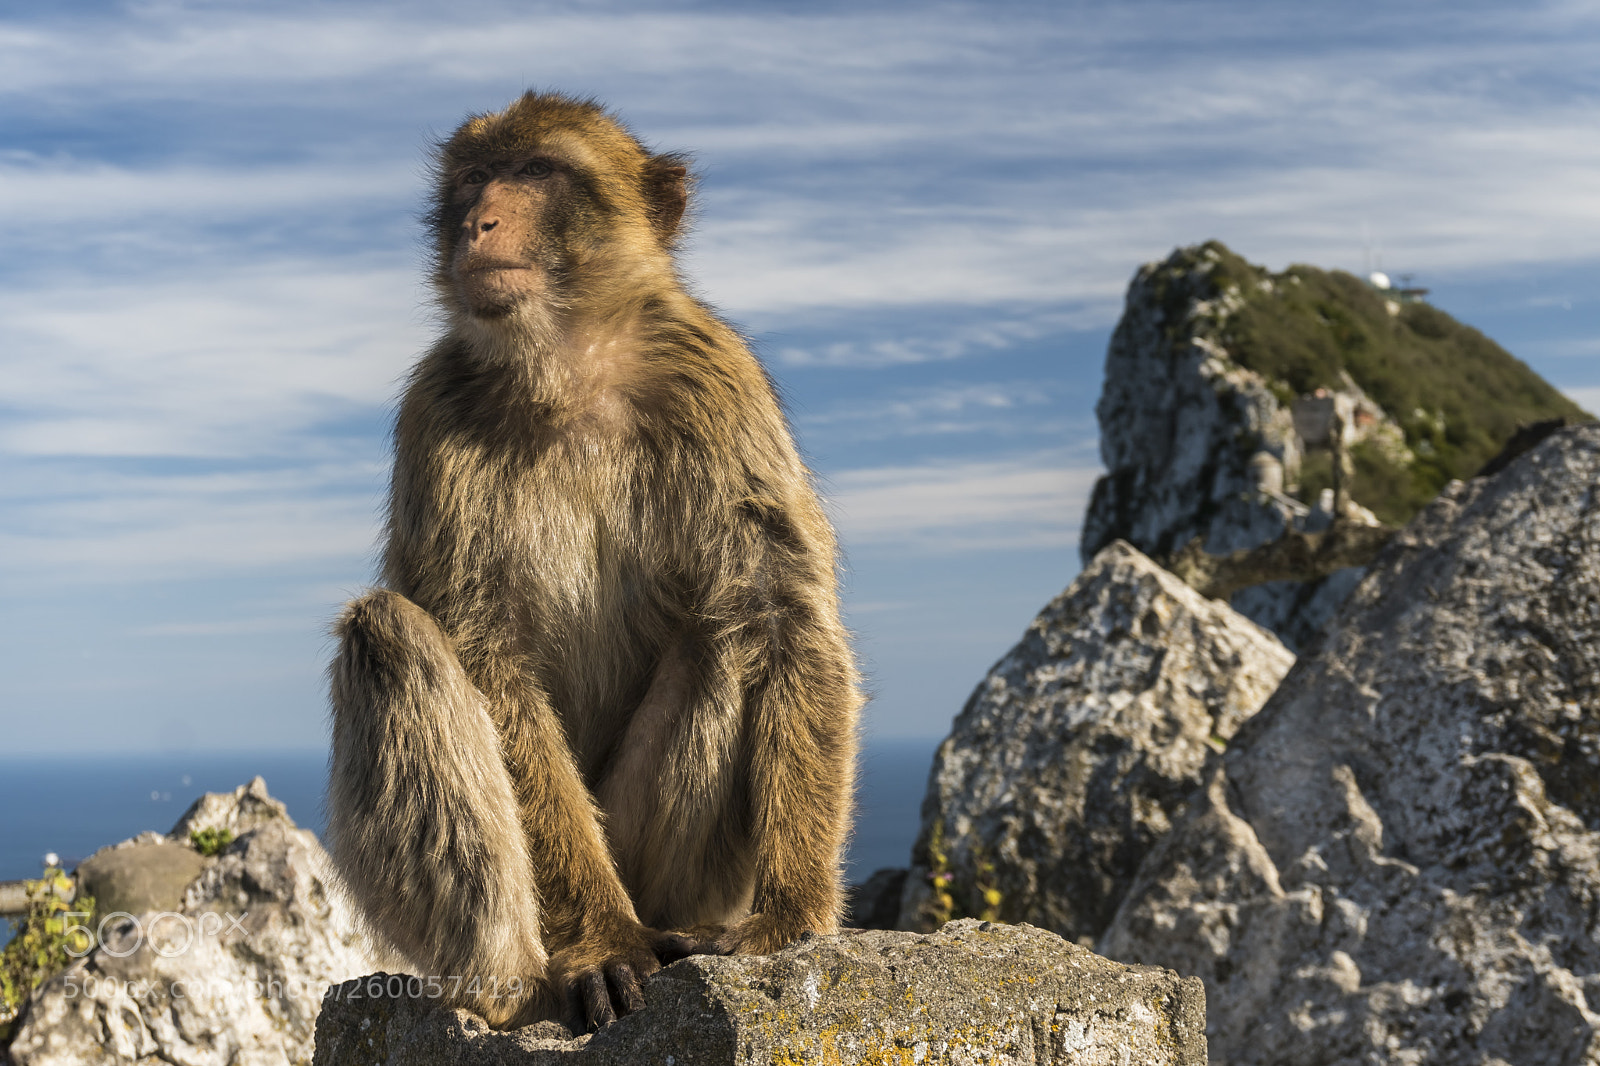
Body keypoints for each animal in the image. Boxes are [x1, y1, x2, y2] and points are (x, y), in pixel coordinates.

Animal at [325, 92, 862, 1033]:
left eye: (538, 171)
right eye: (475, 176)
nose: (479, 220)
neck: (569, 366)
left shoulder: (718, 384)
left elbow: (784, 619)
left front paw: (792, 916)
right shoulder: (435, 411)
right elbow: (490, 659)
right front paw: (600, 944)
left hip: (664, 876)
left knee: (725, 635)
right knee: (387, 634)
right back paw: (517, 985)